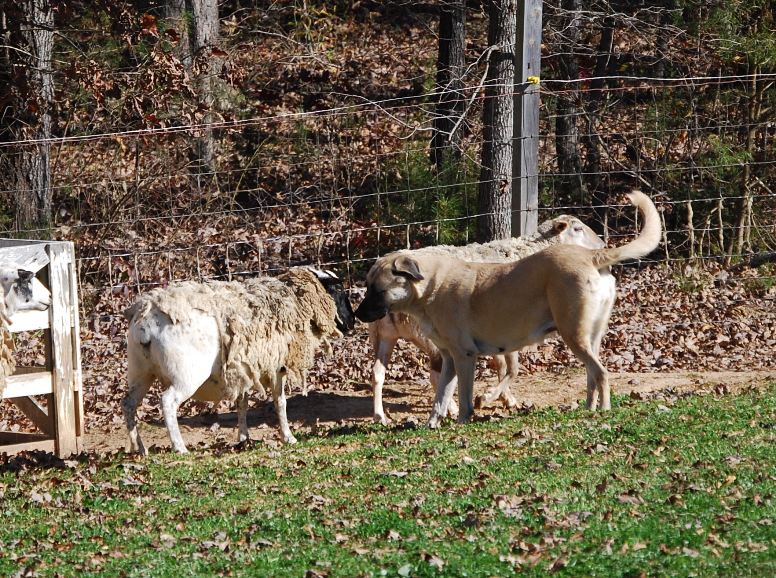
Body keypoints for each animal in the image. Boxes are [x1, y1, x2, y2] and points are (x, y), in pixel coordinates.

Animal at [122, 267, 355, 454]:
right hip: (186, 375)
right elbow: (280, 402)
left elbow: (242, 404)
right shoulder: (275, 366)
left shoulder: (243, 367)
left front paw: (244, 438)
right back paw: (179, 447)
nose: (352, 322)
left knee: (128, 403)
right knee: (168, 402)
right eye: (338, 290)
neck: (295, 301)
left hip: (140, 371)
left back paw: (139, 448)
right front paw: (288, 437)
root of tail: (146, 321)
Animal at [368, 215, 604, 424]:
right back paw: (451, 408)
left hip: (385, 336)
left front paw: (501, 398)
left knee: (378, 372)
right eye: (577, 228)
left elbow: (504, 367)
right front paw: (489, 398)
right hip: (429, 337)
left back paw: (380, 416)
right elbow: (511, 369)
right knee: (435, 373)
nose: (602, 244)